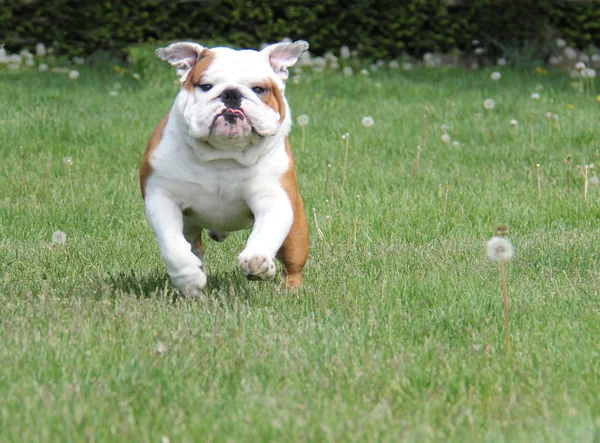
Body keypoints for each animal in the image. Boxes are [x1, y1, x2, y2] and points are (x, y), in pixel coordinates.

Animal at [140, 41, 310, 296]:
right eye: (205, 86)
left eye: (259, 89)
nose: (231, 93)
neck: (224, 155)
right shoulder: (161, 197)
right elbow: (173, 246)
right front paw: (189, 278)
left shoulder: (274, 198)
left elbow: (266, 230)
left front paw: (257, 260)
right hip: (189, 224)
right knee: (193, 246)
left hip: (296, 231)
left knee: (292, 263)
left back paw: (289, 289)